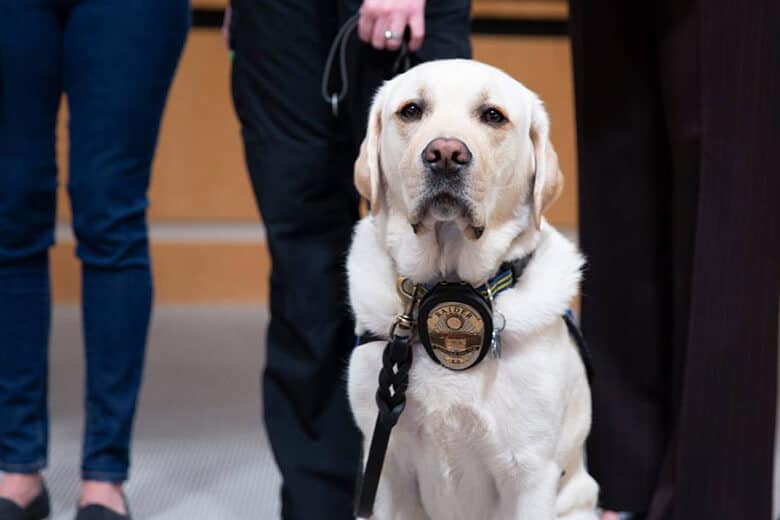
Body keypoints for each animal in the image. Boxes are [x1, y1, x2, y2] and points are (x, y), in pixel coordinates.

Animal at [348, 59, 596, 516]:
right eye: (411, 110)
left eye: (493, 115)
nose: (445, 153)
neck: (447, 286)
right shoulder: (386, 467)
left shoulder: (529, 474)